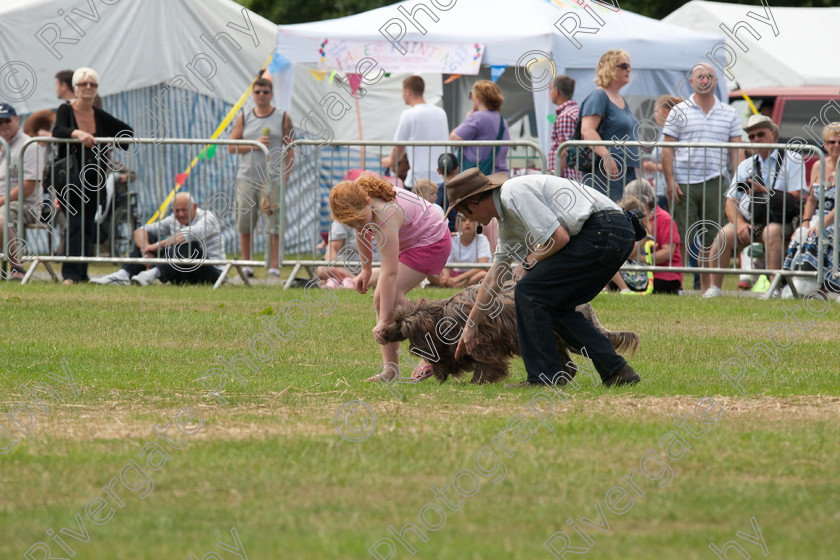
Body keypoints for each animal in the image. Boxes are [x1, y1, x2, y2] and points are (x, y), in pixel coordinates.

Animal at [378, 284, 636, 384]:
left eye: (400, 323)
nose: (382, 333)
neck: (441, 316)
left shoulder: (483, 342)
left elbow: (484, 364)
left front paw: (478, 381)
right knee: (569, 365)